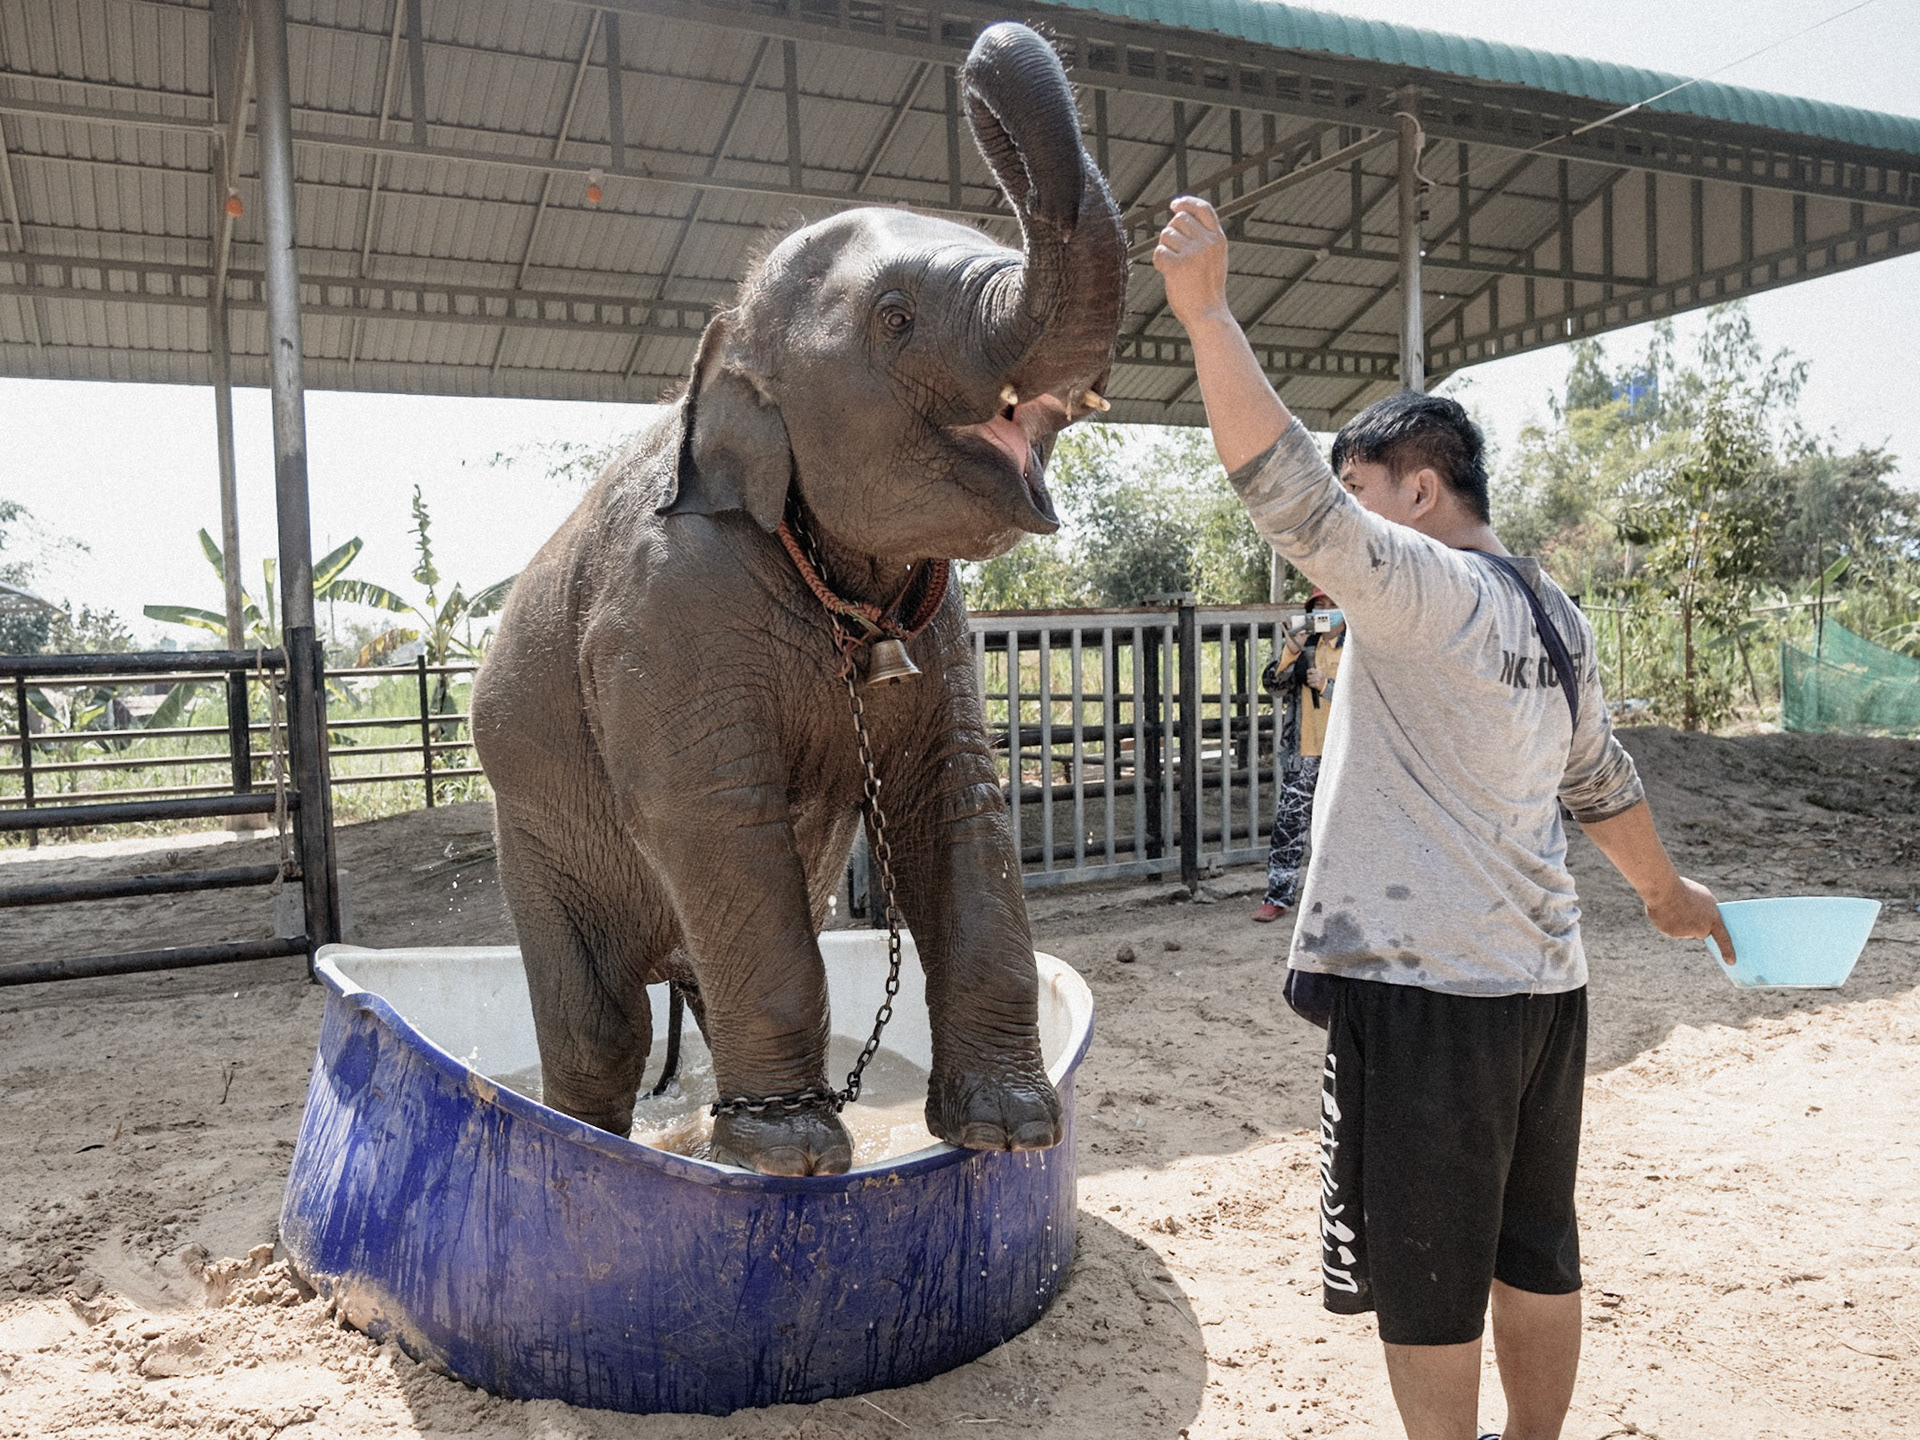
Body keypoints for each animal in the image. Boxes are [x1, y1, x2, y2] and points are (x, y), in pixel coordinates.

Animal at [470, 22, 1127, 1176]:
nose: (992, 50)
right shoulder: (665, 614)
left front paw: (1010, 1132)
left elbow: (954, 798)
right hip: (531, 823)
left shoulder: (940, 631)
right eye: (895, 318)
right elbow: (715, 813)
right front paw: (795, 1158)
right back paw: (616, 1142)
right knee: (601, 1027)